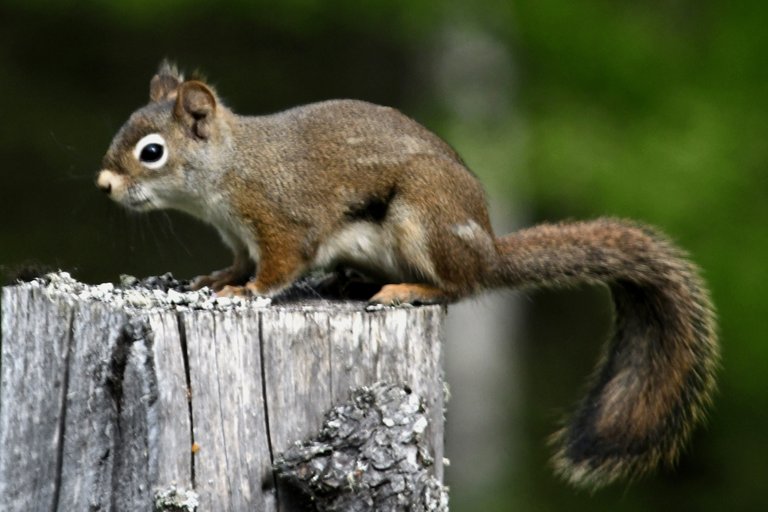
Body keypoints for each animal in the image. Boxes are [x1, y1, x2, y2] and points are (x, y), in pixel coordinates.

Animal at [96, 60, 720, 488]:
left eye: (151, 152)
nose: (104, 186)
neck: (230, 169)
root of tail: (488, 253)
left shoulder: (281, 224)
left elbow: (277, 267)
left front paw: (247, 293)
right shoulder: (238, 236)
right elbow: (237, 261)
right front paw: (214, 281)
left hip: (424, 218)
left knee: (457, 289)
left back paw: (405, 288)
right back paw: (348, 282)